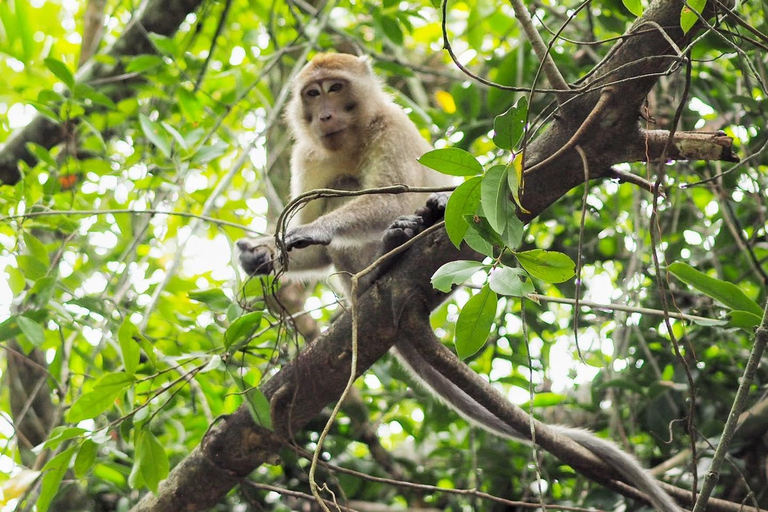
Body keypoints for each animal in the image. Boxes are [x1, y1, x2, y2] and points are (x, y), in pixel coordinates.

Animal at [234, 52, 680, 512]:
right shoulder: (307, 154)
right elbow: (318, 248)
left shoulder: (390, 126)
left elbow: (388, 197)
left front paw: (309, 232)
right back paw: (378, 267)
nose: (323, 114)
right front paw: (261, 255)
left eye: (335, 88)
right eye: (312, 93)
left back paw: (403, 239)